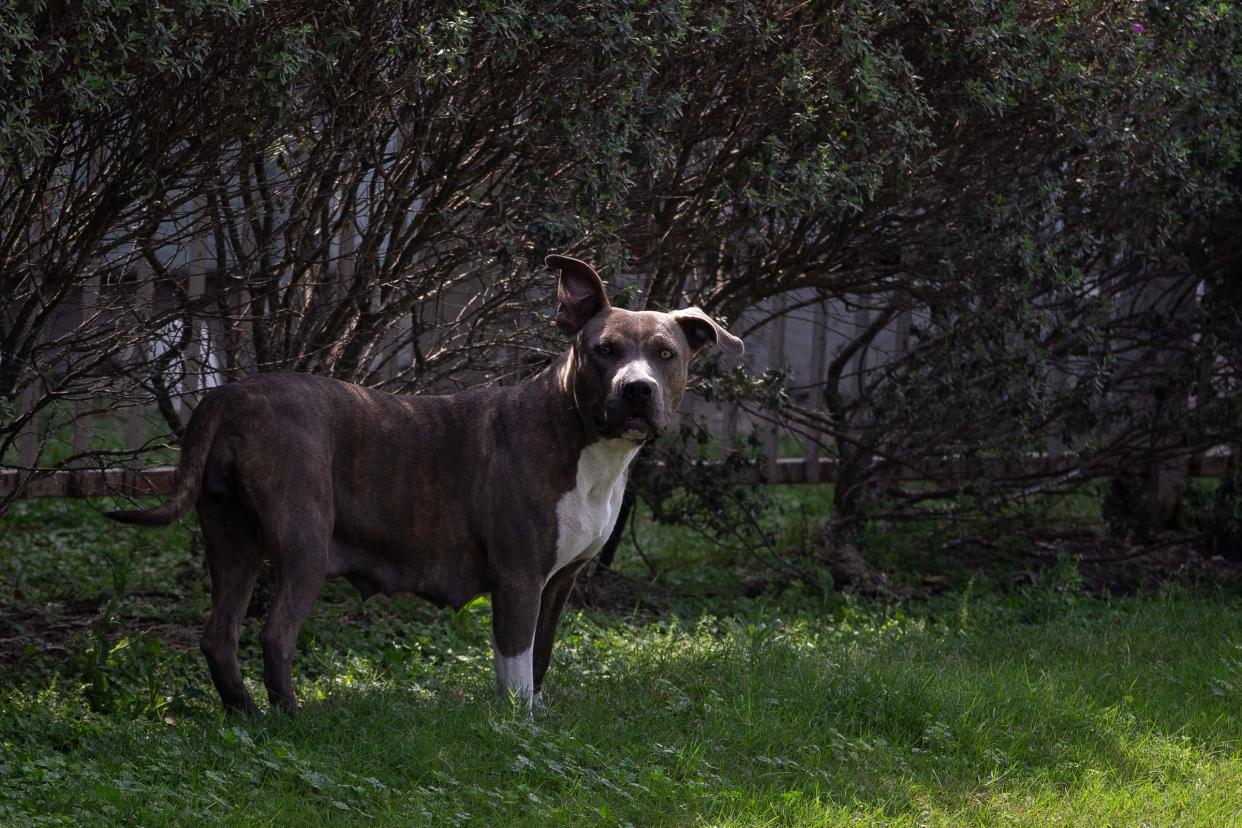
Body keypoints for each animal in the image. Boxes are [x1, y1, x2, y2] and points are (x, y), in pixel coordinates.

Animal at [106, 255, 740, 715]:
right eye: (603, 350)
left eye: (666, 354)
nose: (637, 389)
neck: (583, 443)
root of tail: (229, 394)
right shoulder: (518, 579)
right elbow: (514, 664)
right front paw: (518, 726)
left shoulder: (560, 582)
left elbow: (540, 657)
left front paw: (539, 715)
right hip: (304, 544)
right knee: (276, 635)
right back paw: (292, 720)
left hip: (231, 536)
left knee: (219, 636)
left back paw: (248, 717)